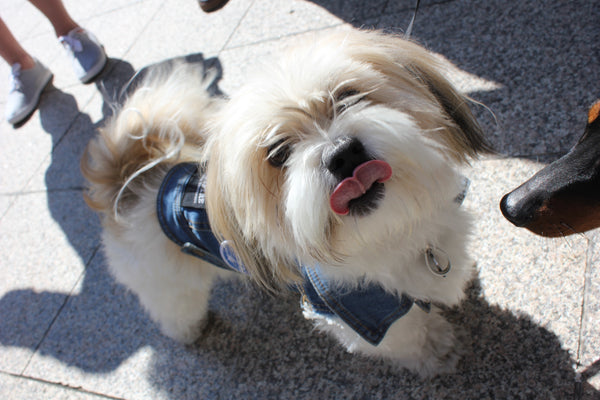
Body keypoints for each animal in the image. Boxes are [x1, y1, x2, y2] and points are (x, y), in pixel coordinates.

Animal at [81, 29, 492, 376]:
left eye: (348, 97)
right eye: (278, 154)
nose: (341, 154)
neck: (390, 231)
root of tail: (130, 181)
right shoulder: (356, 312)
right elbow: (407, 333)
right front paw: (436, 350)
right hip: (165, 280)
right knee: (173, 307)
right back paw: (189, 330)